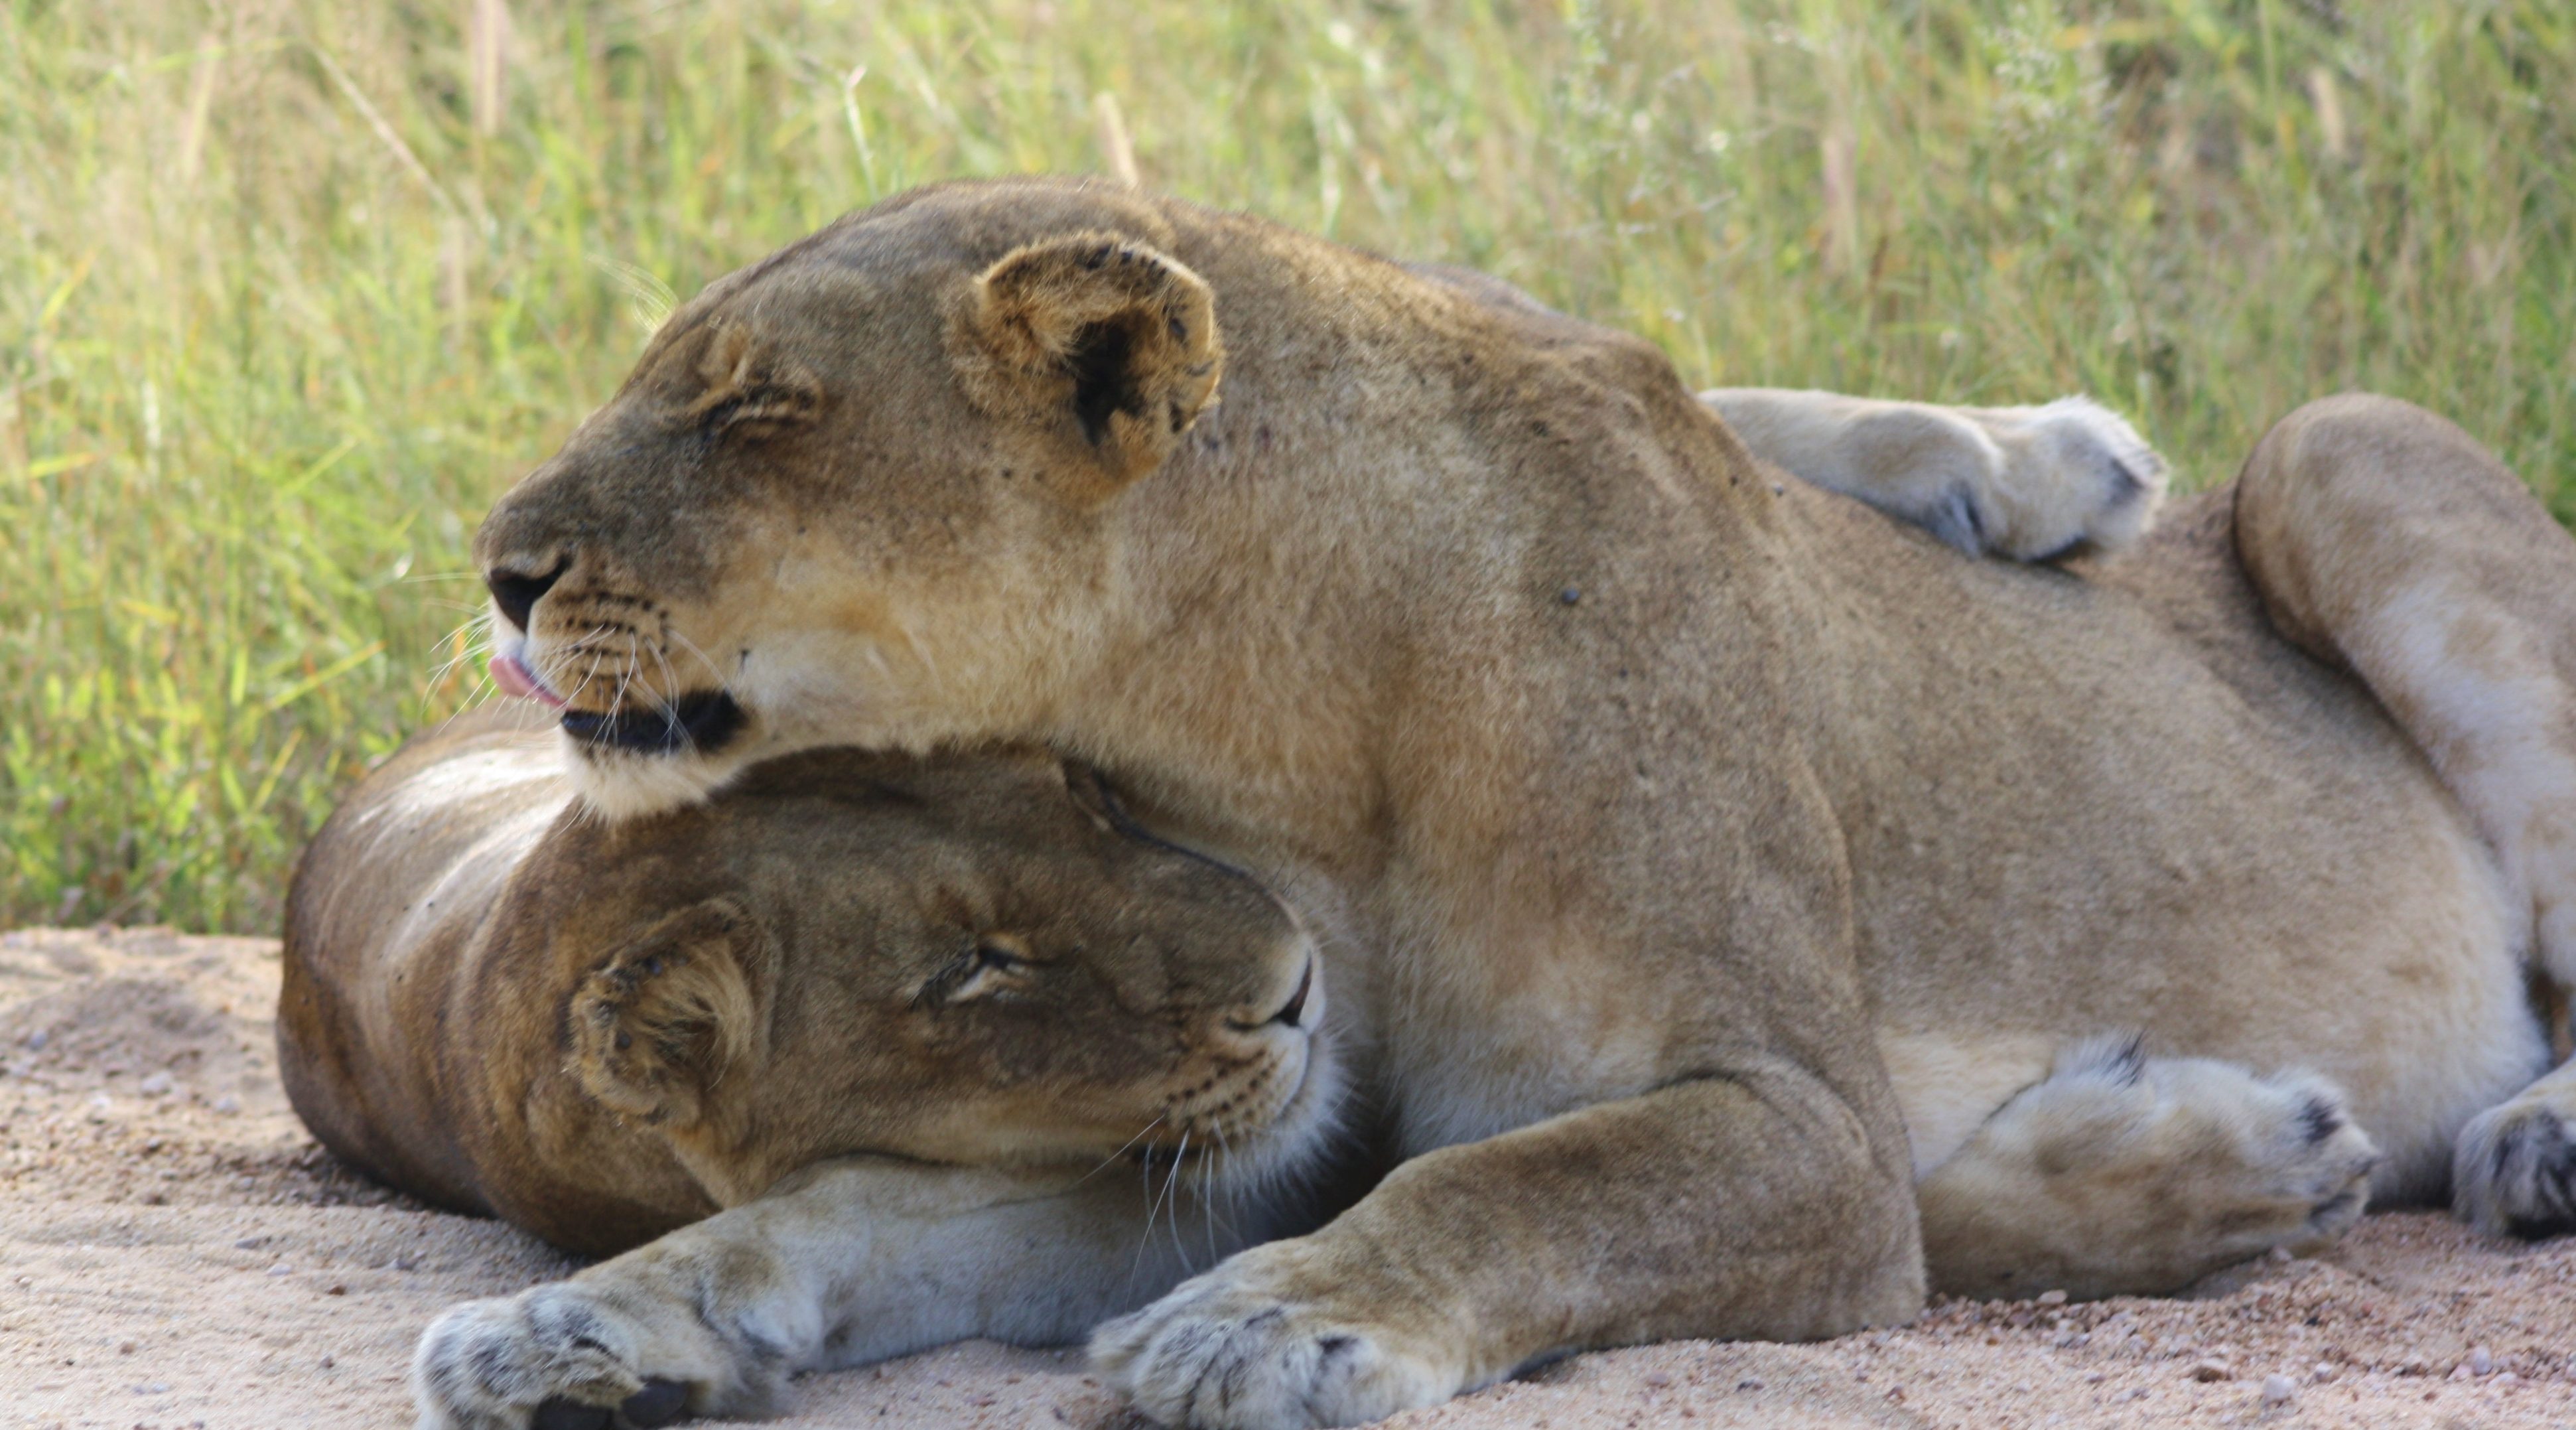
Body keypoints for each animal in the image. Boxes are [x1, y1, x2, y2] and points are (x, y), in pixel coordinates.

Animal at [433, 179, 2576, 1430]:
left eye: (750, 409)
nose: (499, 566)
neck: (1272, 710)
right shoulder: (1261, 1099)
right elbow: (866, 1213)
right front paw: (580, 1323)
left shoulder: (1788, 1113)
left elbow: (1516, 1178)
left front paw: (1263, 1327)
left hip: (2333, 445)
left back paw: (2511, 1137)